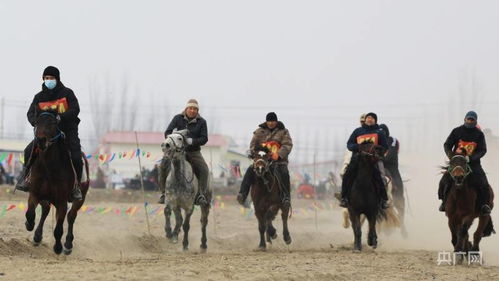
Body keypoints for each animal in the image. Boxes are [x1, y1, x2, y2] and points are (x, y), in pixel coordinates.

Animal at [24, 111, 90, 254]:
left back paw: (68, 244)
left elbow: (59, 228)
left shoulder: (62, 201)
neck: (49, 166)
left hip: (81, 198)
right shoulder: (35, 193)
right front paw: (29, 224)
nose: (41, 140)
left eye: (53, 123)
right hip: (46, 197)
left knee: (71, 216)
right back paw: (37, 236)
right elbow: (30, 213)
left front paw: (58, 247)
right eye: (36, 122)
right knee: (46, 210)